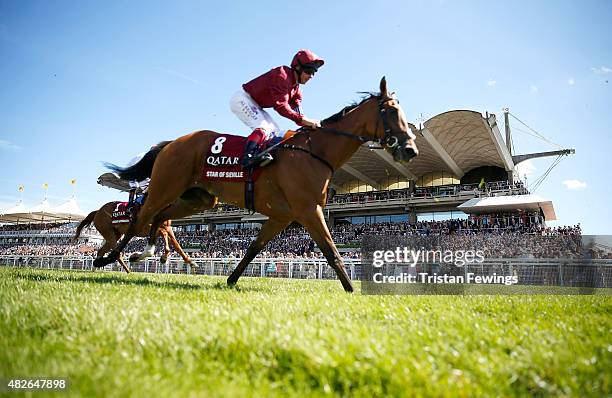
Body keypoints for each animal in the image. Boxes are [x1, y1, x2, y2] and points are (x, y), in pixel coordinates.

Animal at [95, 77, 418, 292]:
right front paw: (351, 289)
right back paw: (109, 257)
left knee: (160, 218)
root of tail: (171, 143)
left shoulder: (282, 216)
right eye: (391, 112)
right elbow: (331, 250)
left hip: (197, 199)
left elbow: (253, 248)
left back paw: (145, 252)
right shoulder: (308, 209)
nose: (411, 149)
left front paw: (230, 279)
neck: (315, 152)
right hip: (166, 186)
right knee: (141, 217)